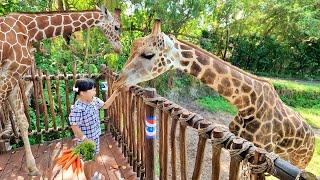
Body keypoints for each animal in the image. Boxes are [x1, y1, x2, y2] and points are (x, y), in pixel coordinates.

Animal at [0, 6, 122, 175]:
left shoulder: (14, 76)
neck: (30, 30)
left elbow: (23, 122)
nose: (120, 48)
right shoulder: (9, 73)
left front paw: (32, 168)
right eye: (117, 27)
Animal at [114, 20, 316, 169]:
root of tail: (313, 139)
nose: (118, 81)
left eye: (148, 54)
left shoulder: (259, 152)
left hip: (300, 161)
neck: (247, 103)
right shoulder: (239, 144)